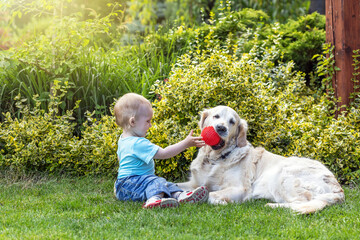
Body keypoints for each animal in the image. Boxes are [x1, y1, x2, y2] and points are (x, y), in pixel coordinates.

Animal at [179, 106, 344, 213]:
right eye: (216, 116)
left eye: (232, 121)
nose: (221, 128)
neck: (215, 158)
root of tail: (339, 189)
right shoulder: (194, 183)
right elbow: (180, 186)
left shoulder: (241, 189)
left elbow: (211, 194)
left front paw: (221, 202)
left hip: (284, 175)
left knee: (302, 202)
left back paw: (272, 206)